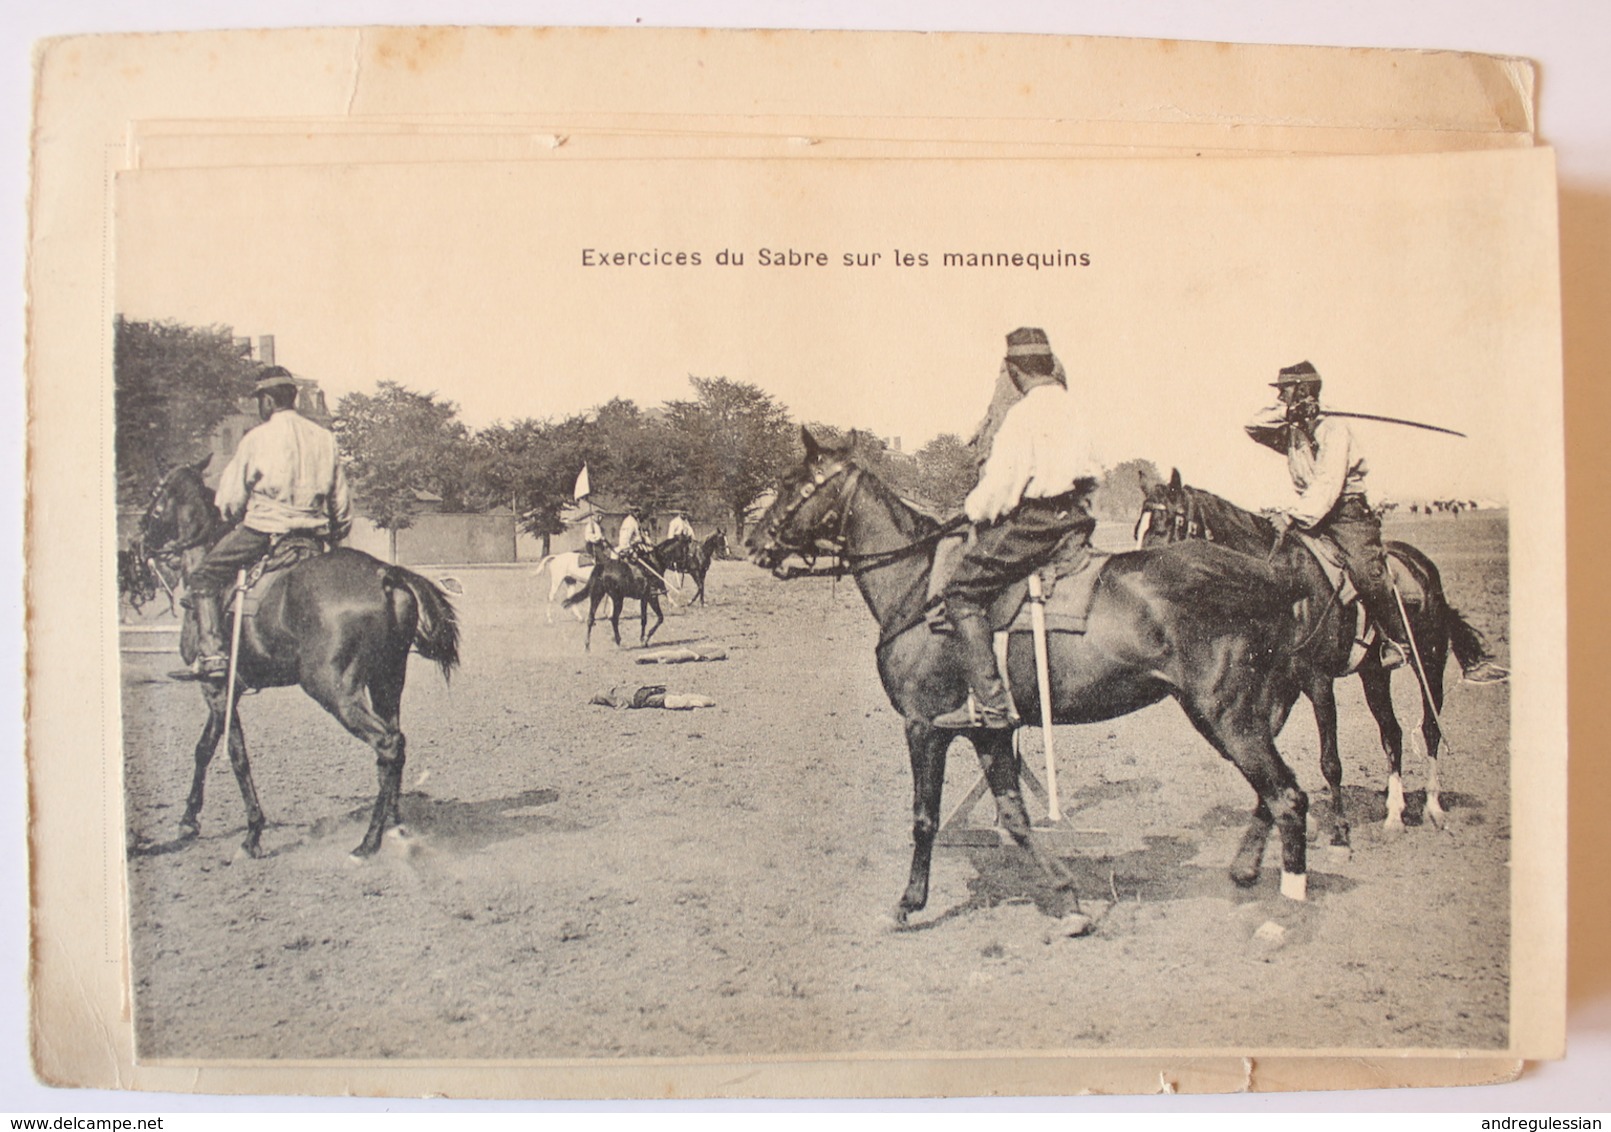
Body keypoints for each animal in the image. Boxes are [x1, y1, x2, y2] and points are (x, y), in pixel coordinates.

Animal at [138, 457, 460, 856]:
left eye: (156, 494)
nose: (140, 539)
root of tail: (384, 573)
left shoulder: (217, 689)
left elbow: (235, 753)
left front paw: (253, 833)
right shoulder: (226, 689)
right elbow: (205, 748)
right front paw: (188, 821)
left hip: (331, 687)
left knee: (387, 743)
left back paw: (367, 843)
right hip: (386, 680)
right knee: (395, 745)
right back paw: (394, 827)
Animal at [747, 428, 1314, 927]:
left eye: (794, 483)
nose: (753, 541)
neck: (919, 587)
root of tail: (1271, 577)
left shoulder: (924, 727)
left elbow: (925, 817)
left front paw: (908, 902)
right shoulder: (988, 731)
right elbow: (1015, 817)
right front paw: (1068, 898)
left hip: (1229, 716)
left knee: (1288, 798)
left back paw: (1287, 907)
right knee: (1279, 795)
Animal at [1134, 470, 1495, 843]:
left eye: (1168, 523)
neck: (1286, 586)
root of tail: (1423, 567)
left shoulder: (1318, 681)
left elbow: (1330, 761)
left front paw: (1339, 829)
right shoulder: (1280, 683)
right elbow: (1263, 751)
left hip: (1431, 661)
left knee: (1430, 728)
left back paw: (1433, 807)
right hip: (1374, 673)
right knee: (1391, 732)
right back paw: (1394, 813)